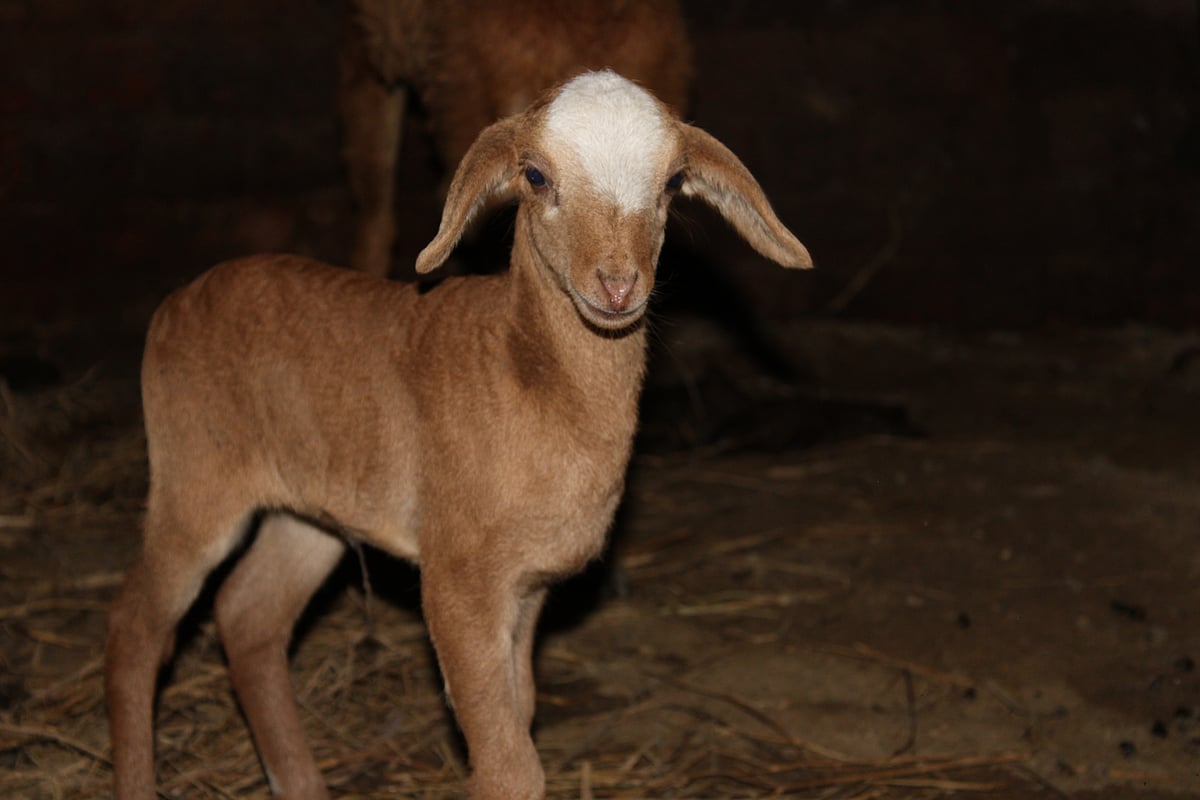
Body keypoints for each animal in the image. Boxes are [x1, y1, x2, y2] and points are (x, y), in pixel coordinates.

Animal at [105, 69, 811, 800]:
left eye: (672, 182)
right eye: (535, 175)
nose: (617, 285)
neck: (524, 370)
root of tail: (177, 302)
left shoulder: (528, 586)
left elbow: (520, 715)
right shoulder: (457, 577)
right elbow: (508, 764)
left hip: (311, 507)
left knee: (250, 618)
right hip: (194, 473)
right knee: (135, 627)